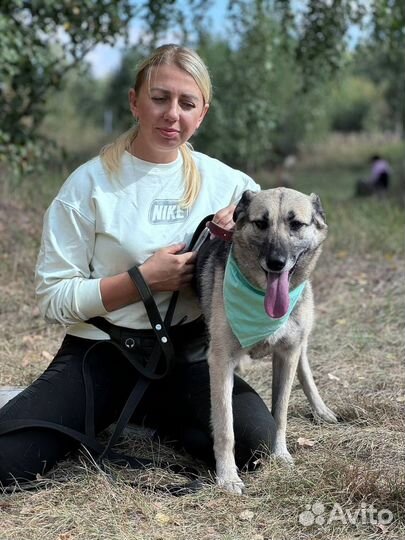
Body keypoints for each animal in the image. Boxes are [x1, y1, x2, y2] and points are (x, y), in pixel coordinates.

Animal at [194, 189, 336, 494]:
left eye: (296, 224)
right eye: (261, 223)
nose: (276, 263)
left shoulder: (287, 354)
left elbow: (279, 414)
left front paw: (279, 454)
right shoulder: (220, 362)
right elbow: (225, 426)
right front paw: (228, 476)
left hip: (300, 338)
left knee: (304, 366)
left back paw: (321, 409)